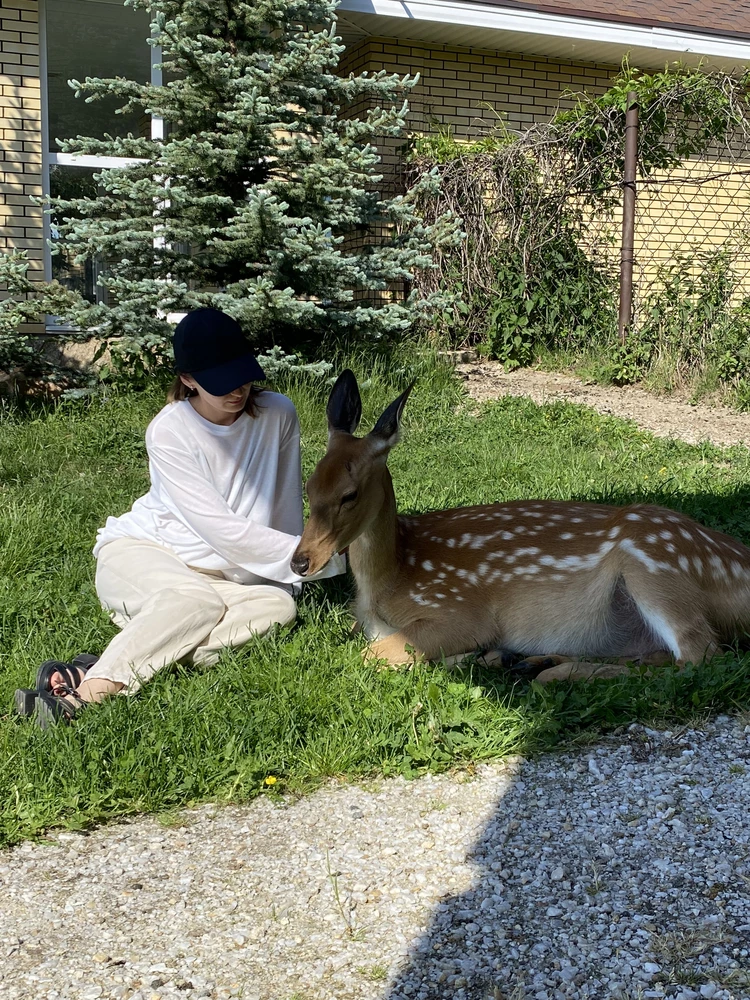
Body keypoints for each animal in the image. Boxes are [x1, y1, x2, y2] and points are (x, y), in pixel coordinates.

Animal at [290, 372, 750, 684]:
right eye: (308, 486)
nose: (300, 562)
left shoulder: (458, 610)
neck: (390, 578)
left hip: (656, 569)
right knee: (661, 655)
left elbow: (374, 655)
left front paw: (481, 656)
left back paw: (549, 671)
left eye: (349, 495)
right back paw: (535, 661)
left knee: (700, 657)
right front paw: (492, 657)